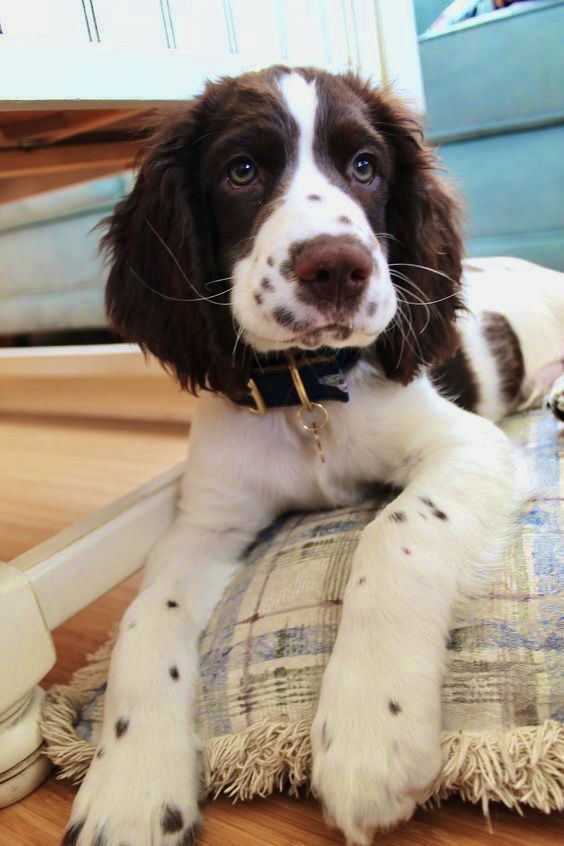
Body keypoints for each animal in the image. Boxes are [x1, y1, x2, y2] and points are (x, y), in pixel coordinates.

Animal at [61, 69, 564, 846]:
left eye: (365, 166)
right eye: (241, 171)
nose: (337, 268)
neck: (305, 392)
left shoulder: (470, 444)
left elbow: (397, 534)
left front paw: (372, 728)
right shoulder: (206, 521)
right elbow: (144, 618)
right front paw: (131, 786)